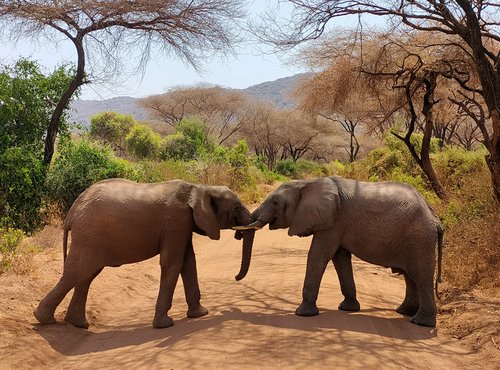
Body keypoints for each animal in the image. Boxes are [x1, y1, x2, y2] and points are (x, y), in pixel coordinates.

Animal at [35, 179, 254, 330]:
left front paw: (200, 314)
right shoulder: (177, 222)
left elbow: (188, 262)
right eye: (236, 208)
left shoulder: (184, 225)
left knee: (86, 275)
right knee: (77, 273)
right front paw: (165, 324)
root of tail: (71, 213)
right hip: (89, 235)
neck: (199, 188)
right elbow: (172, 263)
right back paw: (44, 319)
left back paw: (78, 324)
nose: (236, 277)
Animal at [236, 176, 444, 326]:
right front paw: (348, 309)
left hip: (419, 239)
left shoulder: (333, 222)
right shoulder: (336, 224)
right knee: (410, 276)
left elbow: (318, 256)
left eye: (276, 202)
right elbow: (340, 259)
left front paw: (303, 314)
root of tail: (436, 219)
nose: (237, 278)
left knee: (422, 276)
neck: (307, 182)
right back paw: (404, 312)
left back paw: (420, 323)